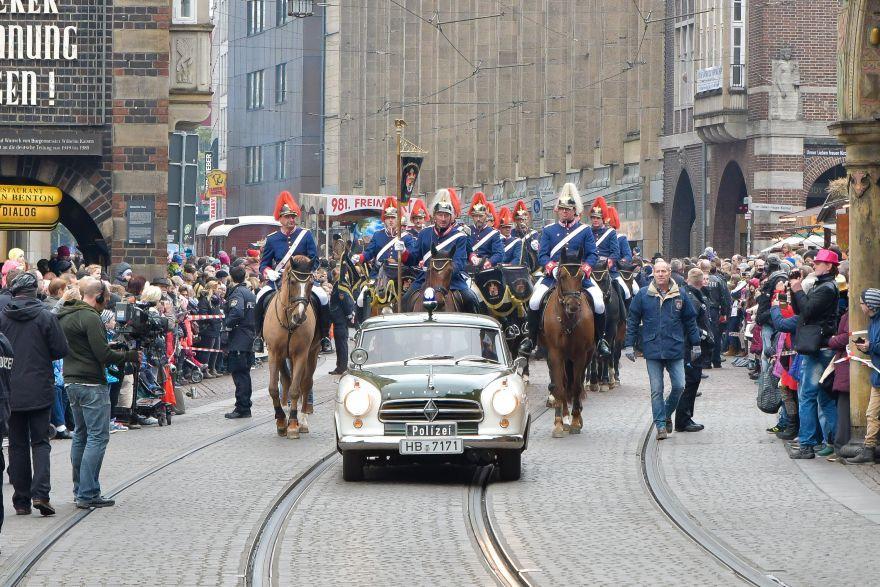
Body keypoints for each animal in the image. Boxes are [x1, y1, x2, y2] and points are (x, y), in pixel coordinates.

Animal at [262, 255, 322, 438]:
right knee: (287, 380)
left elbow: (296, 389)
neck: (289, 320)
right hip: (284, 357)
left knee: (306, 383)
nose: (300, 316)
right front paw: (281, 421)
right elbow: (274, 388)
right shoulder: (274, 353)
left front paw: (294, 424)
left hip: (312, 353)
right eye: (293, 282)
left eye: (311, 282)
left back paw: (302, 421)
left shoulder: (301, 354)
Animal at [536, 250, 600, 438]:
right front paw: (559, 423)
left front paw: (576, 421)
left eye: (581, 276)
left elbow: (577, 387)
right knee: (564, 383)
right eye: (562, 276)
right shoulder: (555, 354)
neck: (568, 320)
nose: (573, 305)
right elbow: (559, 386)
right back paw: (564, 417)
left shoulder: (580, 355)